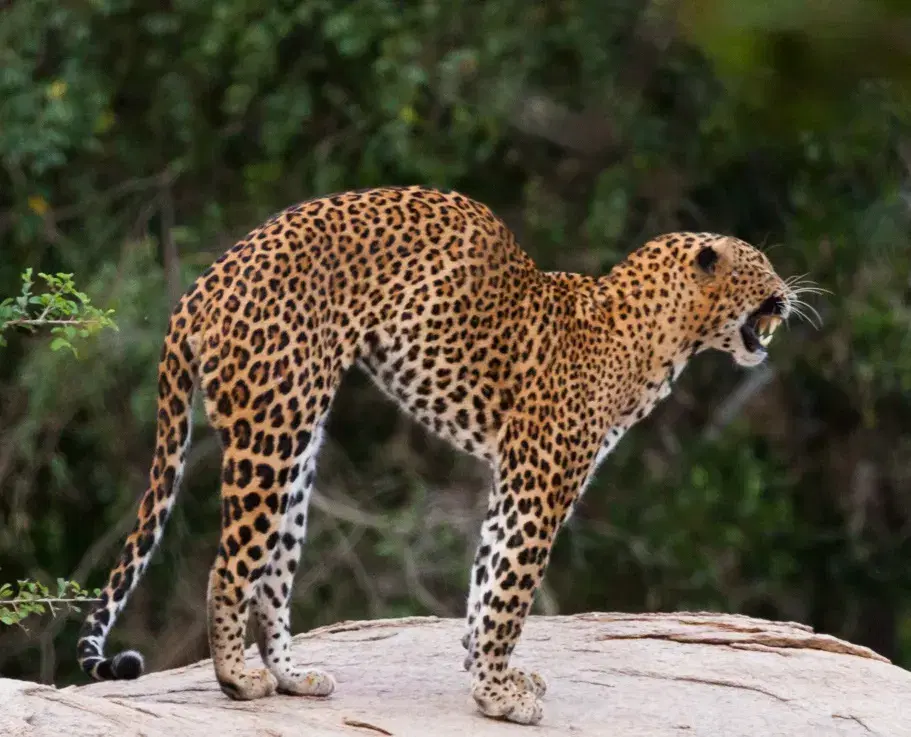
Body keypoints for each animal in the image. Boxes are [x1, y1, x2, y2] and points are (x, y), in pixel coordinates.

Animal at [77, 185, 803, 725]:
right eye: (760, 266)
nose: (791, 295)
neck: (658, 338)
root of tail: (205, 282)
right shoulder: (540, 487)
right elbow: (510, 589)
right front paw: (499, 695)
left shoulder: (513, 483)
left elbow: (487, 579)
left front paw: (489, 675)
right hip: (270, 432)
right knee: (228, 567)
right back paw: (237, 680)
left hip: (298, 451)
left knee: (273, 574)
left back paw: (292, 675)